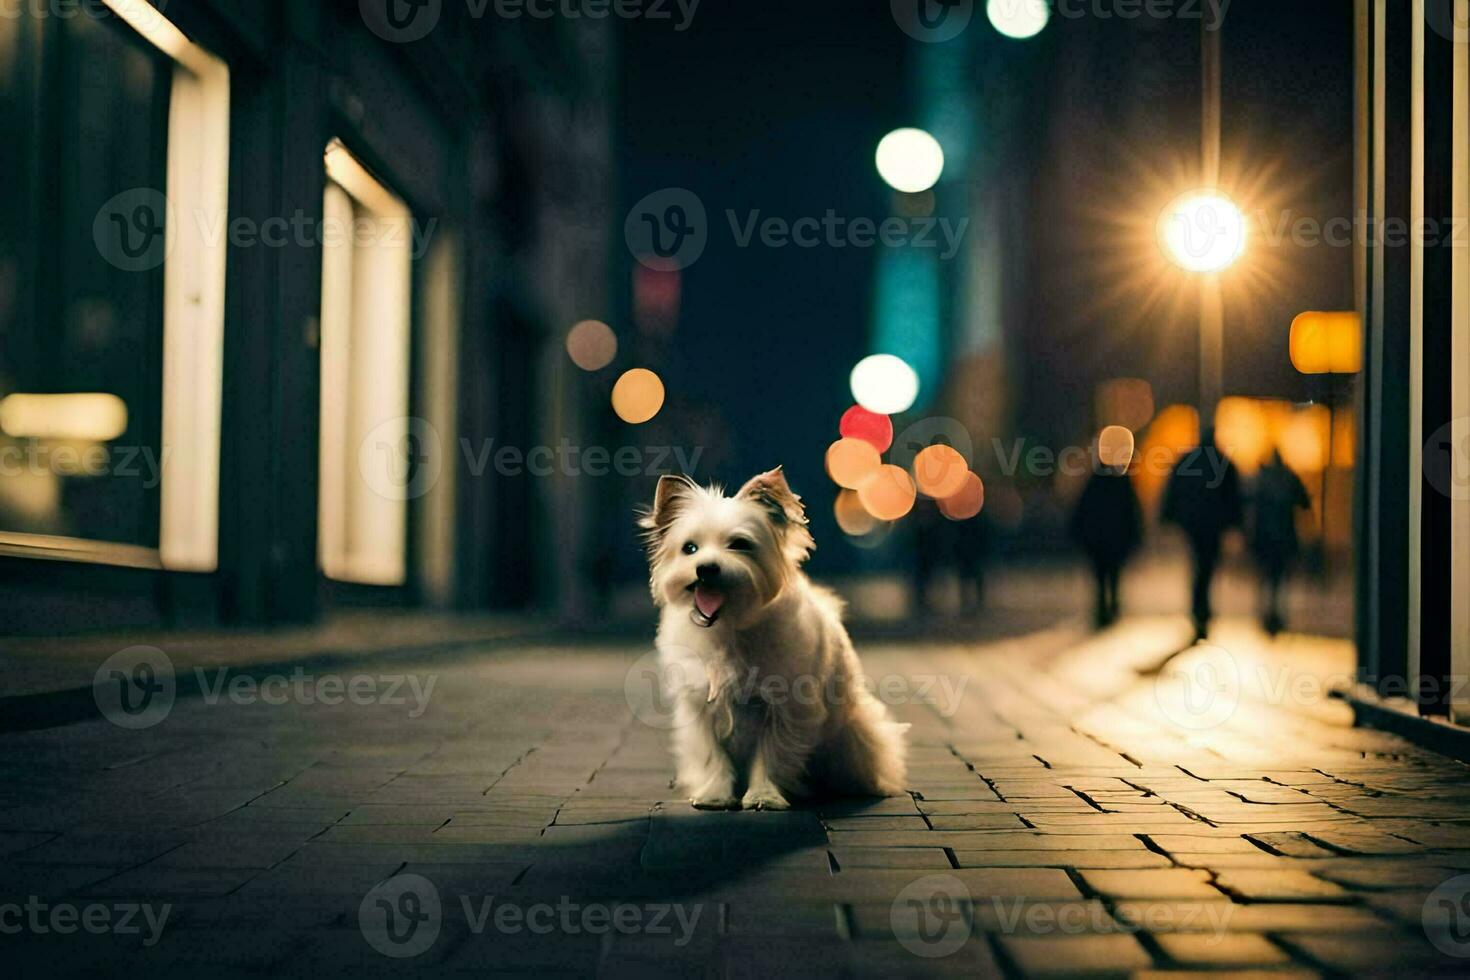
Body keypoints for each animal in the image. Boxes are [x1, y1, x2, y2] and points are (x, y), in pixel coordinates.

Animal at [640, 470, 905, 811]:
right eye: (690, 548)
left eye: (740, 544)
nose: (706, 568)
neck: (730, 626)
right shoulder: (700, 708)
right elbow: (712, 755)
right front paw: (715, 794)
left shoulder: (785, 709)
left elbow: (772, 755)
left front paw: (764, 795)